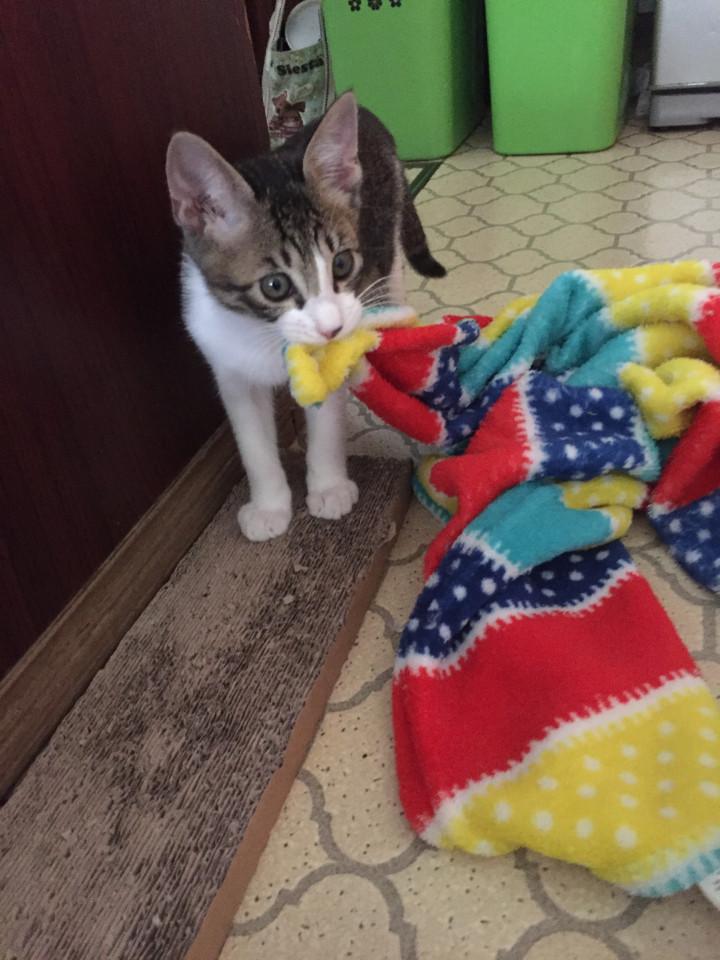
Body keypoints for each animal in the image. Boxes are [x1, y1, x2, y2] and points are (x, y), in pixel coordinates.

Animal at [165, 91, 445, 541]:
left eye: (342, 264)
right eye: (274, 286)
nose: (331, 327)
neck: (266, 334)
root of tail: (366, 115)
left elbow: (325, 420)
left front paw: (328, 487)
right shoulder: (228, 368)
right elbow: (253, 443)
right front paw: (269, 506)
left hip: (387, 258)